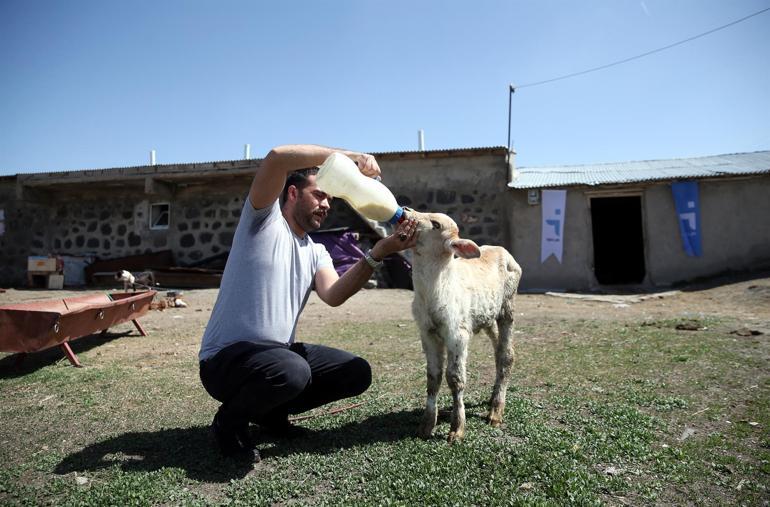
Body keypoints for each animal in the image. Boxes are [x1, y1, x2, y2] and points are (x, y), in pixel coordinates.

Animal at [404, 210, 520, 444]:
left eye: (436, 224)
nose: (405, 211)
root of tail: (501, 249)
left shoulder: (457, 333)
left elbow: (455, 378)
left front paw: (457, 429)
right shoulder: (427, 332)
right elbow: (433, 377)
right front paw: (426, 426)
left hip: (508, 306)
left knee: (507, 355)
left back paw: (496, 411)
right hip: (486, 316)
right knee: (497, 351)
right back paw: (493, 399)